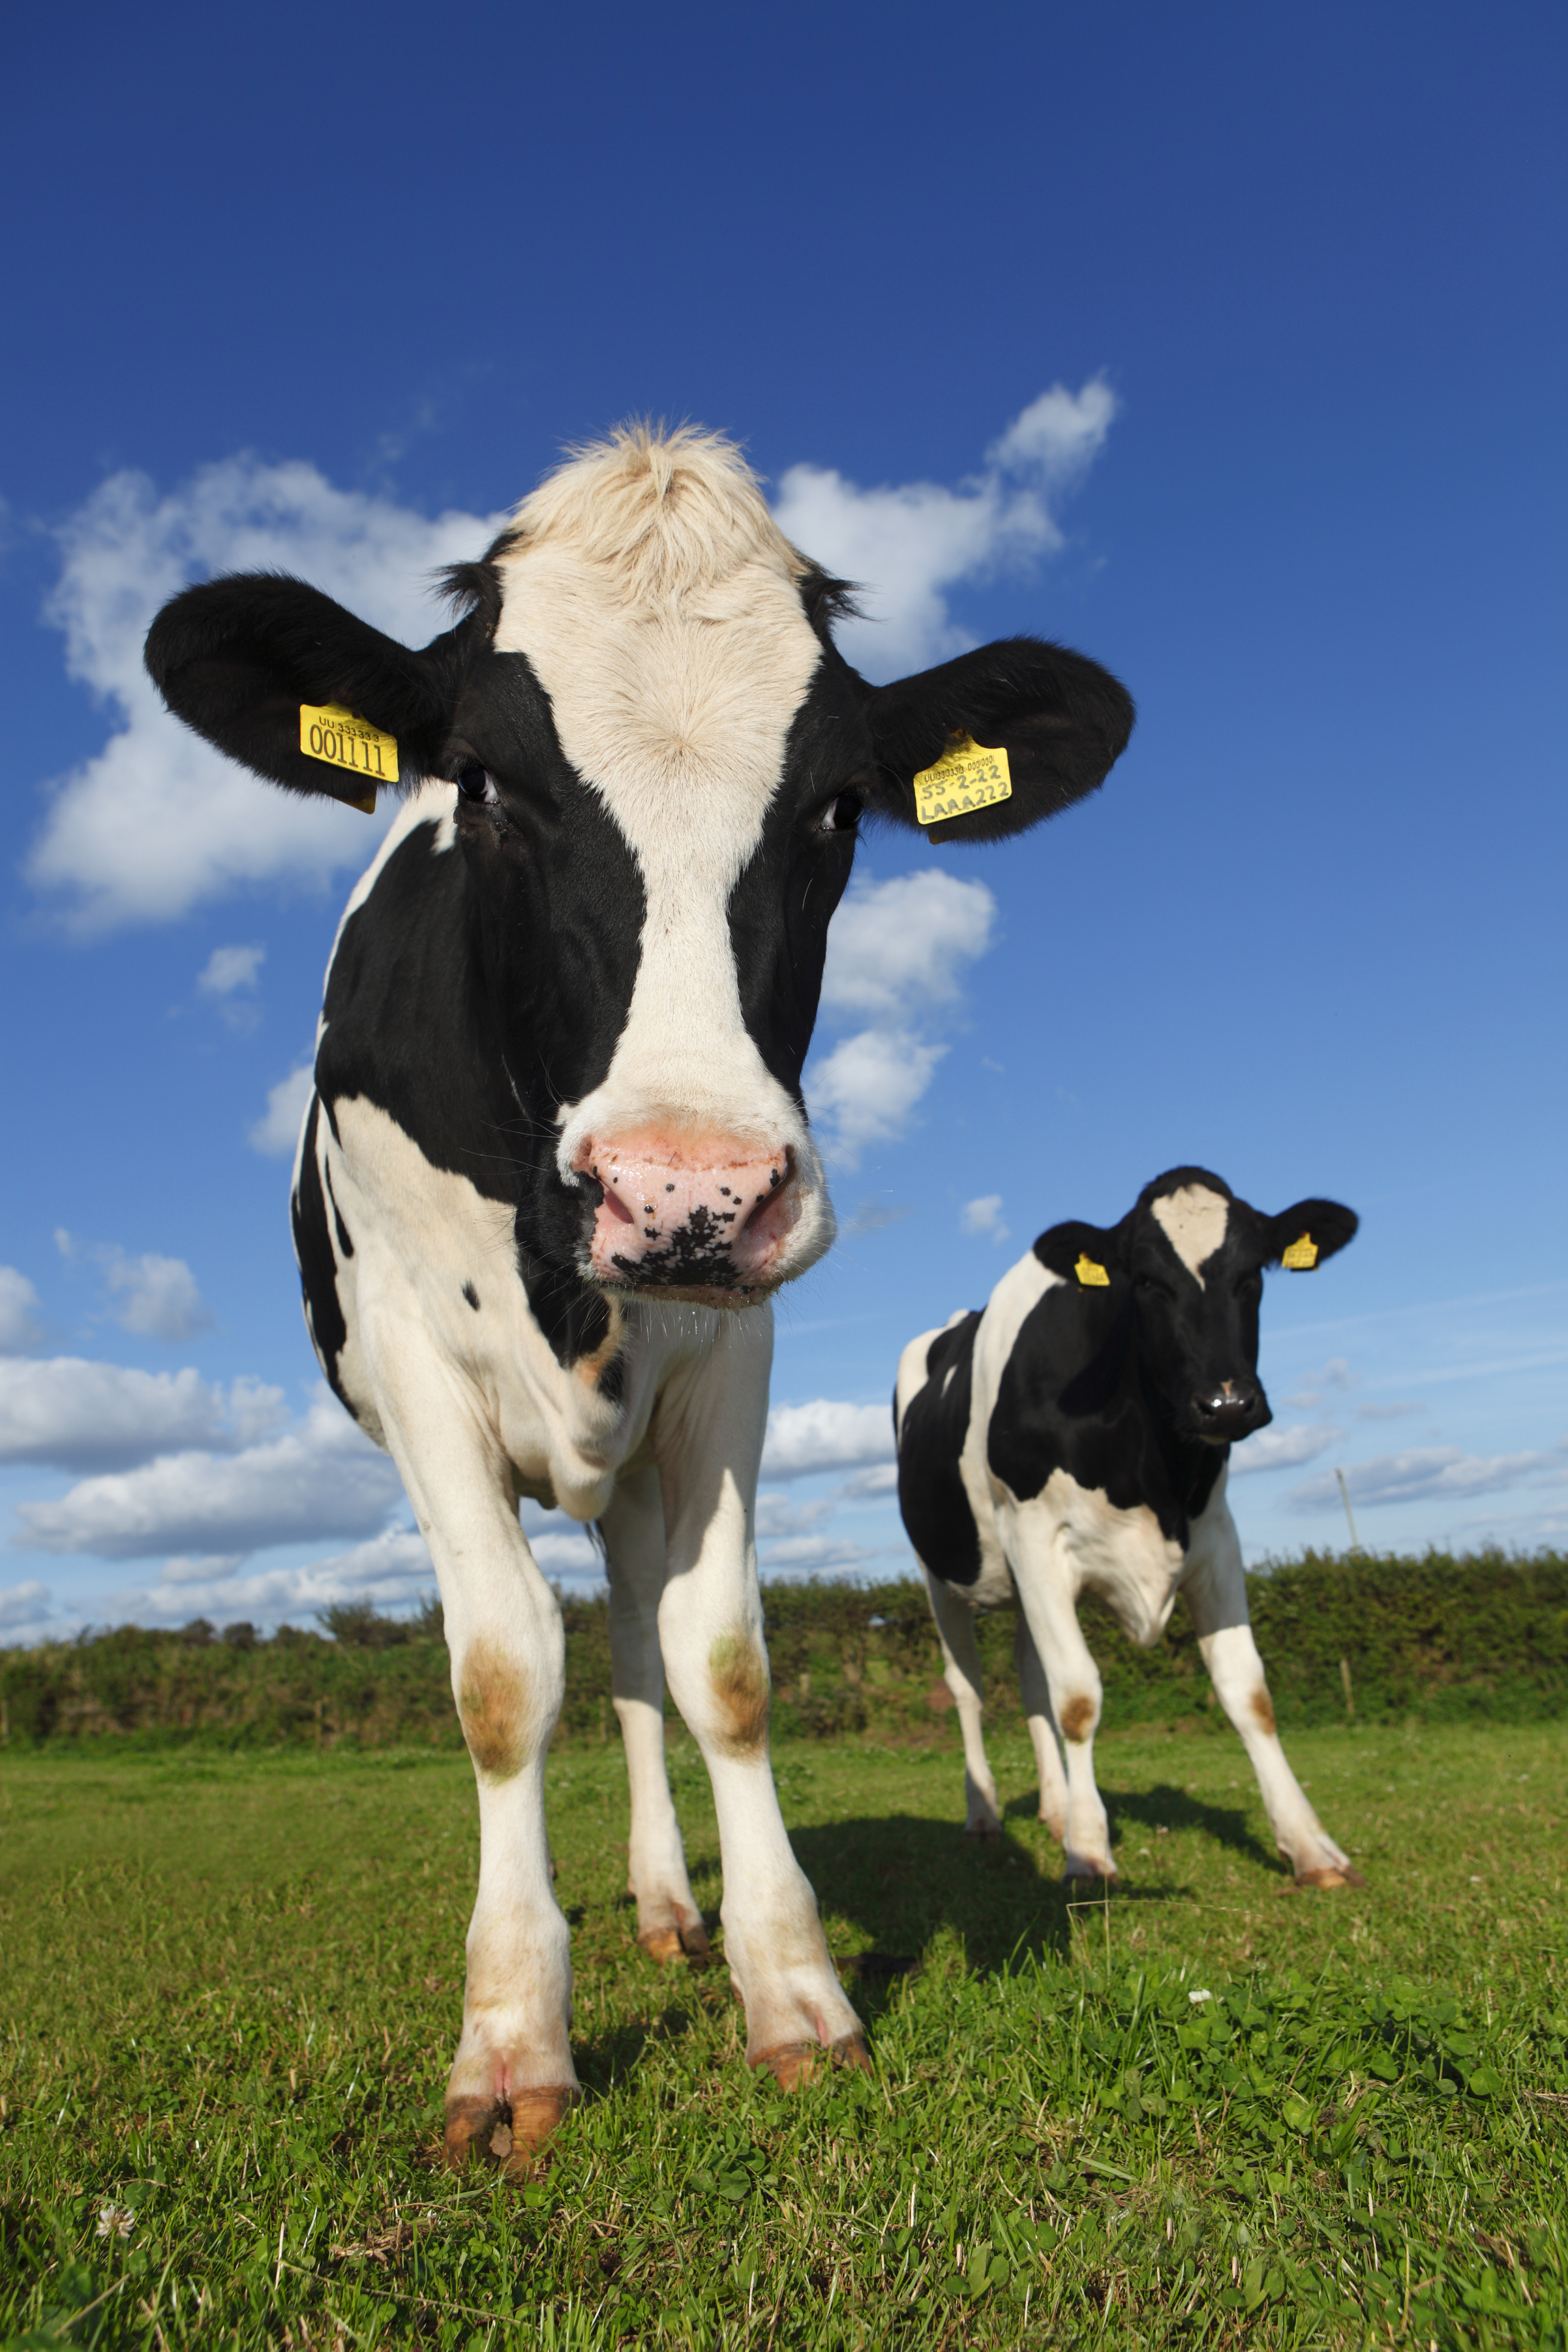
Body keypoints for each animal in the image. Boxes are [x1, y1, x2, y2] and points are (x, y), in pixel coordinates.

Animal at [144, 426, 1135, 2168]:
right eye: (479, 781)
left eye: (838, 805)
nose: (685, 1187)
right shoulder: (413, 1360)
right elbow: (497, 1679)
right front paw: (510, 2039)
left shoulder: (728, 1351)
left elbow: (716, 1665)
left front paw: (790, 1989)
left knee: (625, 1650)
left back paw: (674, 1901)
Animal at [894, 1167, 1362, 1888]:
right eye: (1144, 1281)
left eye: (1254, 1272)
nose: (1227, 1403)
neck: (1153, 1475)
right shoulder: (1035, 1538)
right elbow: (1079, 1697)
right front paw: (1089, 1855)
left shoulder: (1215, 1539)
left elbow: (1248, 1692)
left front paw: (1310, 1844)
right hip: (942, 1575)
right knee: (968, 1688)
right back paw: (984, 1814)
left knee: (1029, 1677)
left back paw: (1056, 1808)